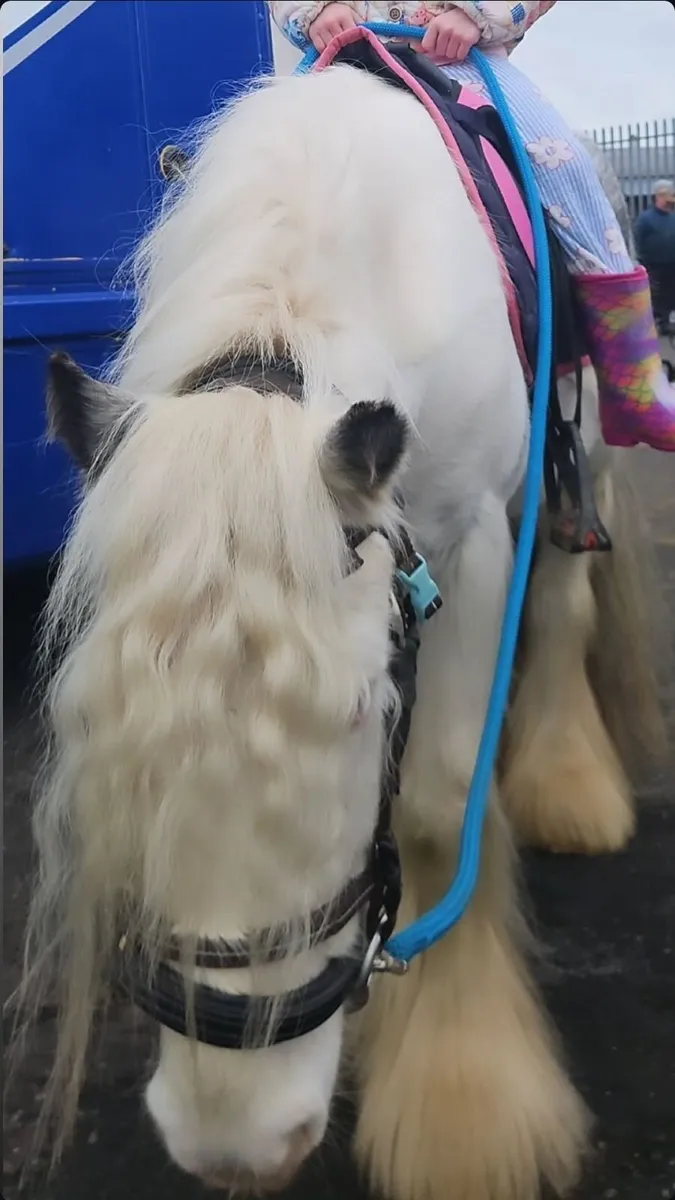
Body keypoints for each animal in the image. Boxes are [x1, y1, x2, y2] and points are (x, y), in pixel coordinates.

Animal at [13, 61, 663, 1200]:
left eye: (367, 710)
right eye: (97, 724)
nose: (235, 1142)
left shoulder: (467, 543)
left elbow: (441, 807)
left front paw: (463, 1107)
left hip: (571, 449)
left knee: (562, 606)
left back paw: (567, 791)